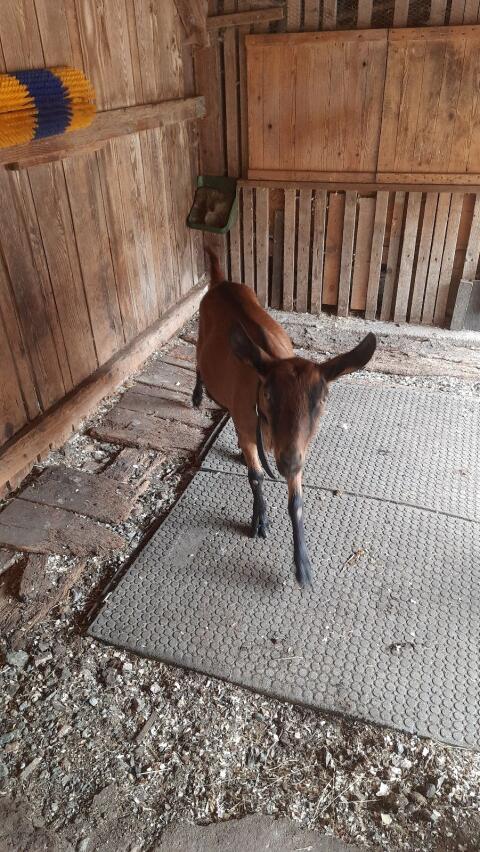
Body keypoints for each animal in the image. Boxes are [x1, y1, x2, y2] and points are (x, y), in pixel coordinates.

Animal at [193, 247, 376, 587]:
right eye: (268, 395)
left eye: (323, 400)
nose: (288, 464)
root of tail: (221, 282)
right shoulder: (252, 428)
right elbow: (256, 476)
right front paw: (259, 520)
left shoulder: (295, 445)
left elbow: (296, 502)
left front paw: (302, 564)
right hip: (200, 335)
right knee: (197, 363)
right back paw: (198, 396)